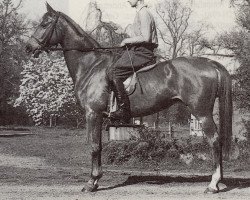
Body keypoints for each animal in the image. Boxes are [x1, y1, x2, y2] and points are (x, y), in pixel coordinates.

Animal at [25, 3, 232, 194]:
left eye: (44, 24)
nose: (28, 47)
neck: (91, 65)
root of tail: (210, 63)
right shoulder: (99, 117)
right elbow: (100, 146)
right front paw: (97, 179)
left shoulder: (93, 114)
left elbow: (94, 146)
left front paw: (91, 183)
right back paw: (219, 182)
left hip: (202, 112)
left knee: (214, 140)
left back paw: (213, 184)